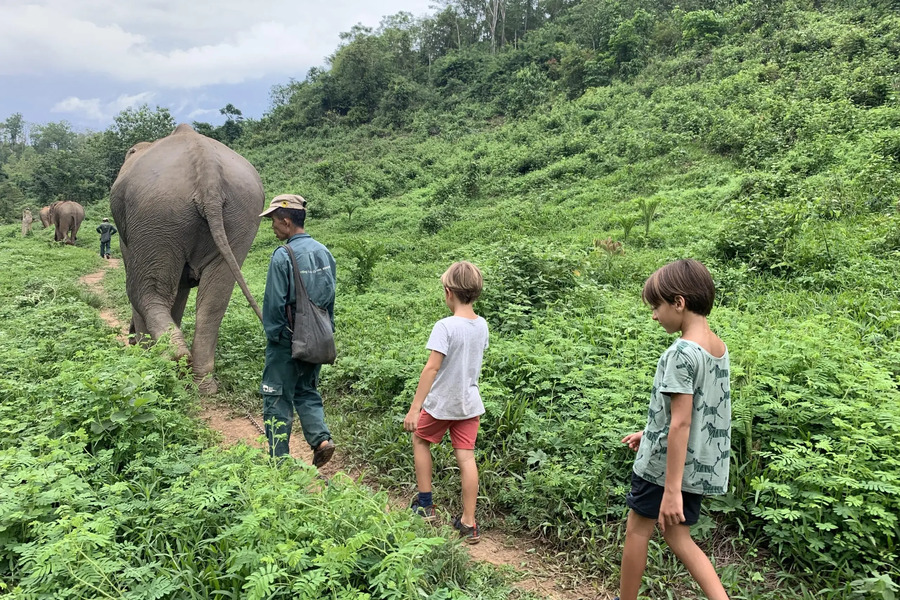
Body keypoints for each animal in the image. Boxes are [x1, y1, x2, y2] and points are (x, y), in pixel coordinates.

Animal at [110, 123, 264, 395]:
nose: (130, 340)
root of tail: (208, 171)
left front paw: (143, 353)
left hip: (156, 214)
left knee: (143, 291)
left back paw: (173, 359)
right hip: (241, 217)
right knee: (214, 300)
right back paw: (202, 383)